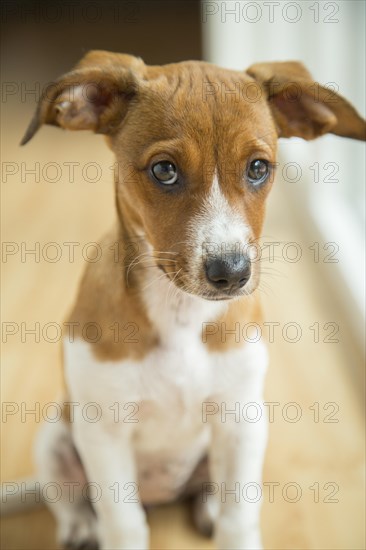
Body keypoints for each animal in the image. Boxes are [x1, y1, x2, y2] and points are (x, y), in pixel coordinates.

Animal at [20, 49, 366, 548]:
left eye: (258, 168)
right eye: (164, 170)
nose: (232, 273)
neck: (180, 314)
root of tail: (161, 493)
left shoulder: (242, 420)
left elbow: (239, 519)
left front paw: (231, 527)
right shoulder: (104, 432)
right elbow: (123, 524)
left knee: (211, 489)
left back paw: (208, 507)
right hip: (56, 437)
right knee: (70, 499)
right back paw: (81, 526)